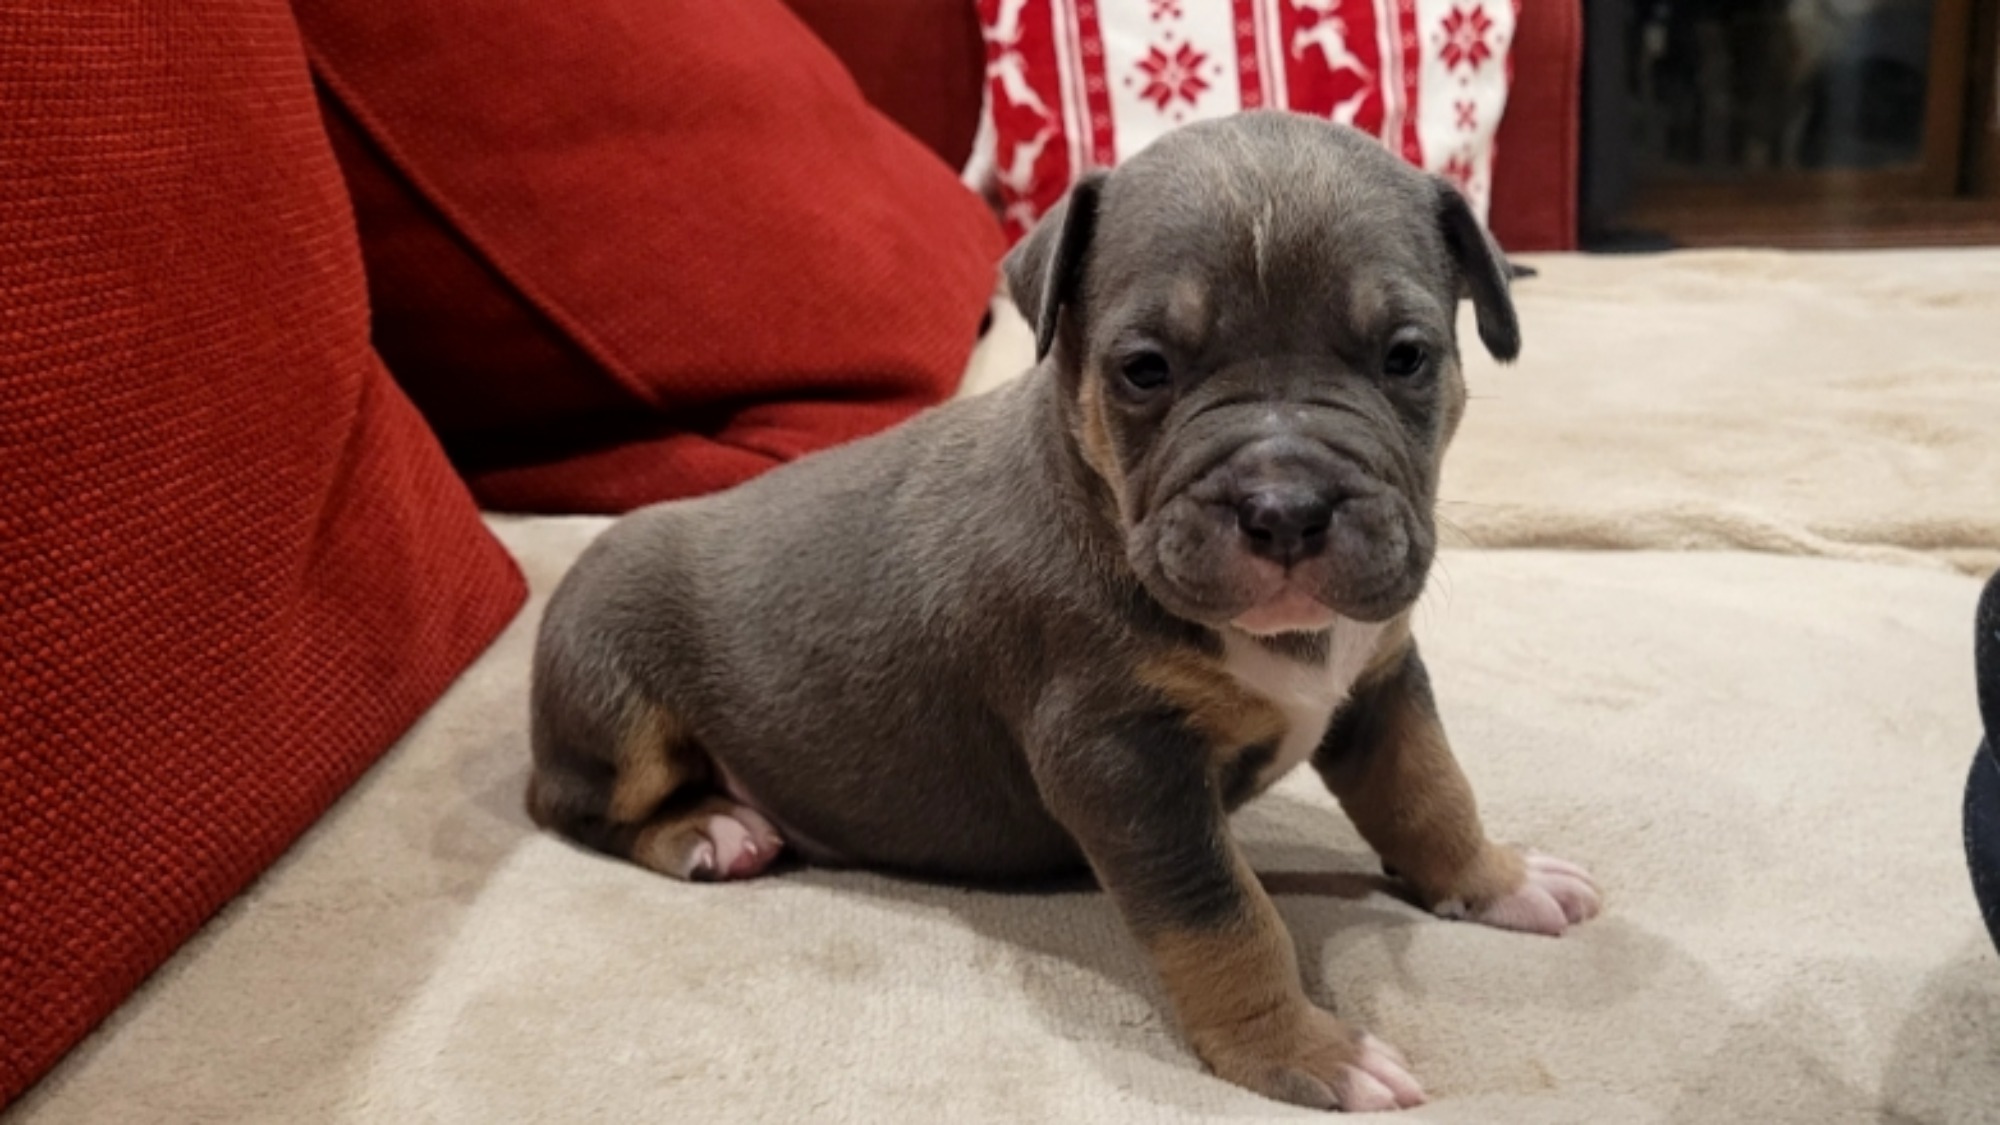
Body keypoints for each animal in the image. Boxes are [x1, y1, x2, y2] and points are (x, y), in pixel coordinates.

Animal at [528, 109, 1592, 1104]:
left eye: (1407, 356)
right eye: (1145, 369)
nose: (1286, 509)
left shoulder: (1381, 682)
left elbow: (1429, 791)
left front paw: (1496, 878)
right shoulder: (1122, 762)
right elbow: (1225, 914)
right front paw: (1299, 1051)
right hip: (612, 701)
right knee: (578, 805)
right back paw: (707, 829)